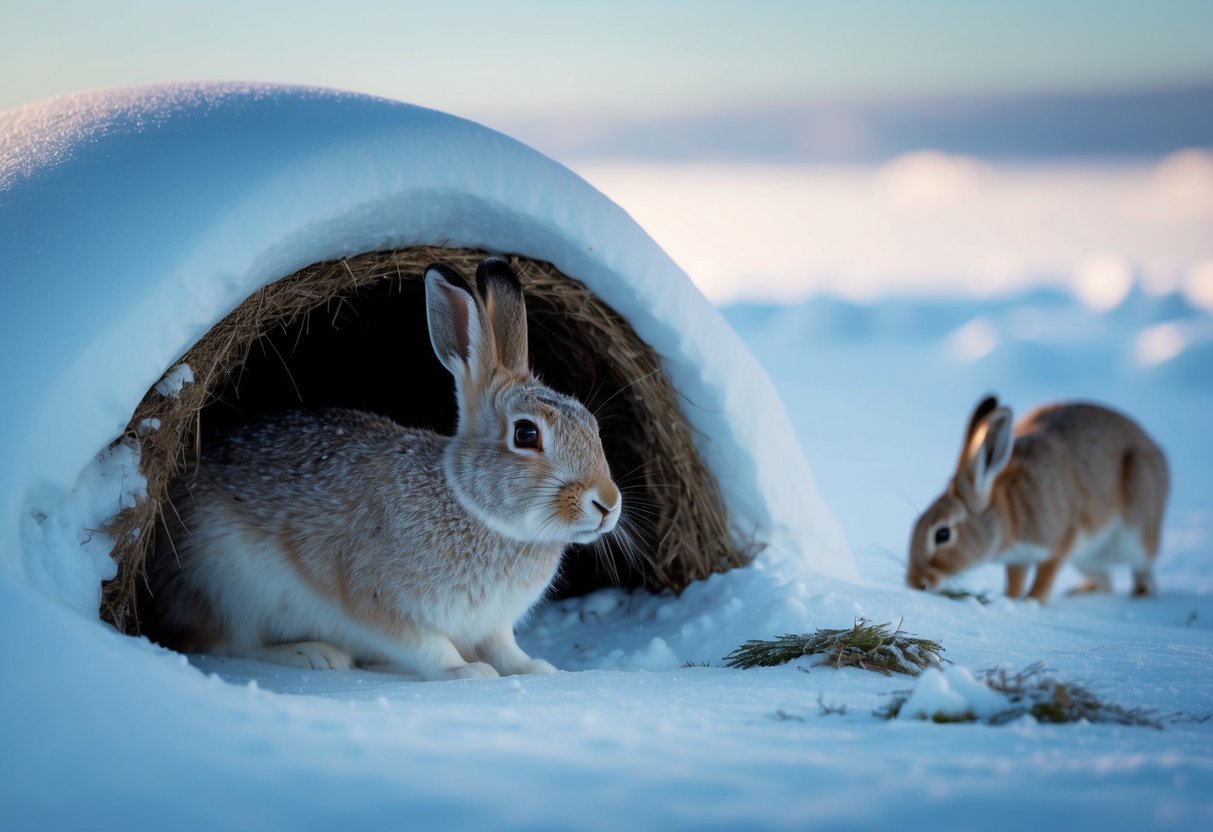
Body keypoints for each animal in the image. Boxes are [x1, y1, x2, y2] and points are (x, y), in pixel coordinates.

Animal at [143, 257, 622, 679]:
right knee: (225, 645)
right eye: (526, 434)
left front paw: (535, 669)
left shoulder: (493, 625)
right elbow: (426, 645)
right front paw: (466, 672)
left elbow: (504, 649)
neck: (474, 509)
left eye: (592, 424)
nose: (607, 504)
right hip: (224, 578)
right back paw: (316, 655)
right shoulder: (374, 599)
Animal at [906, 395, 1168, 602]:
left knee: (1143, 574)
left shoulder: (1062, 538)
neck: (1009, 512)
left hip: (1136, 535)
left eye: (942, 534)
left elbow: (1045, 576)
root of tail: (1158, 453)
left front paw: (1033, 602)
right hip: (1087, 561)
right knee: (1106, 582)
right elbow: (1016, 580)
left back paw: (1140, 597)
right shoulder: (1018, 557)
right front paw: (1010, 599)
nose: (915, 583)